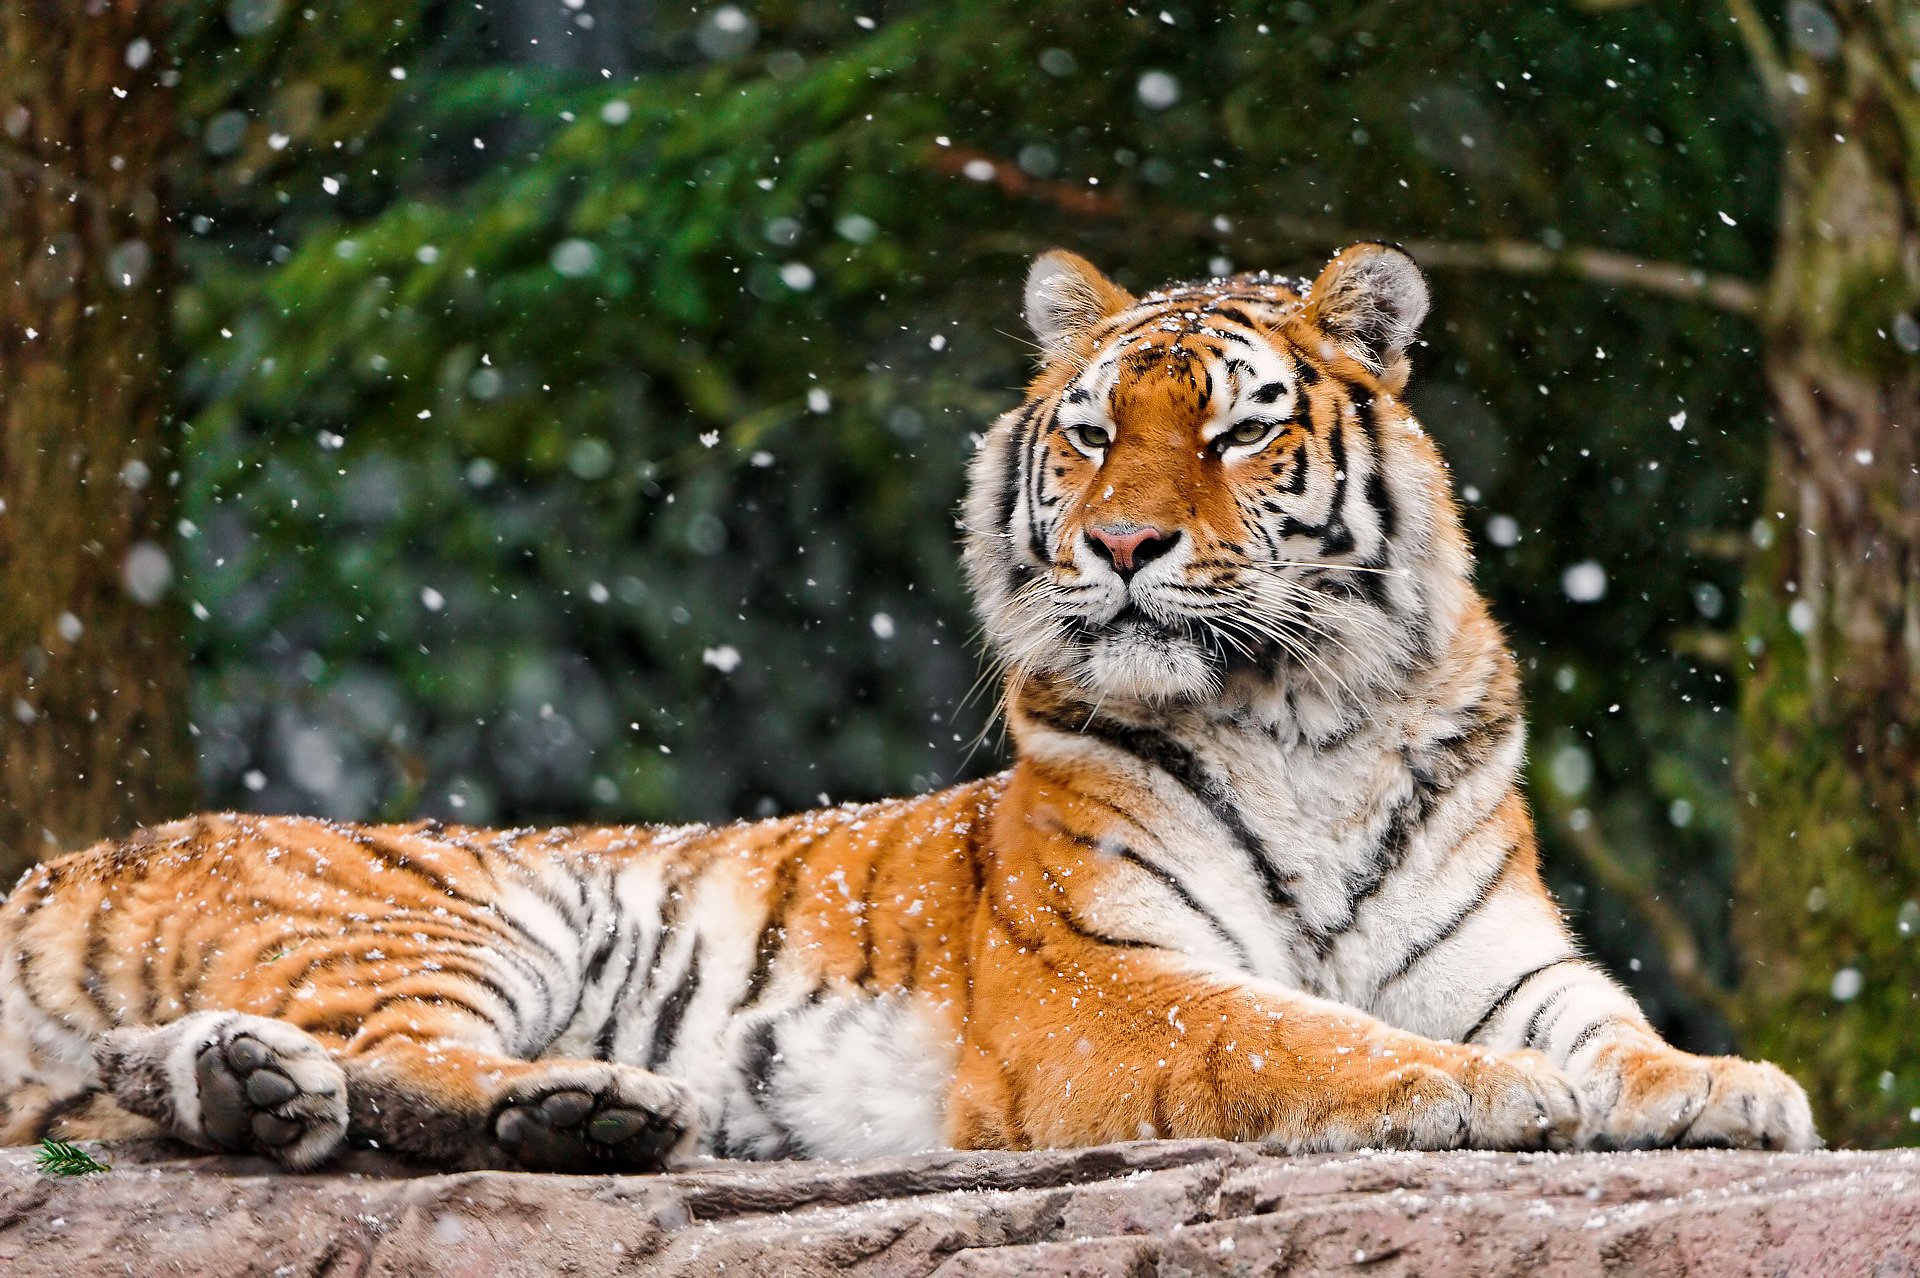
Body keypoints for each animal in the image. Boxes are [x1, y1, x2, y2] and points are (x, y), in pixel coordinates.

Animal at [0, 243, 1812, 1166]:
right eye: (1092, 431)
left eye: (1237, 431)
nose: (1124, 544)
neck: (1308, 717)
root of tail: (66, 858)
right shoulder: (1105, 978)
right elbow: (1294, 1029)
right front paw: (1476, 1089)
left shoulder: (1504, 954)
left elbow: (1611, 1024)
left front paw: (1728, 1083)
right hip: (443, 910)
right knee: (394, 1062)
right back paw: (583, 1104)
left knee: (216, 1075)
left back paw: (279, 1091)